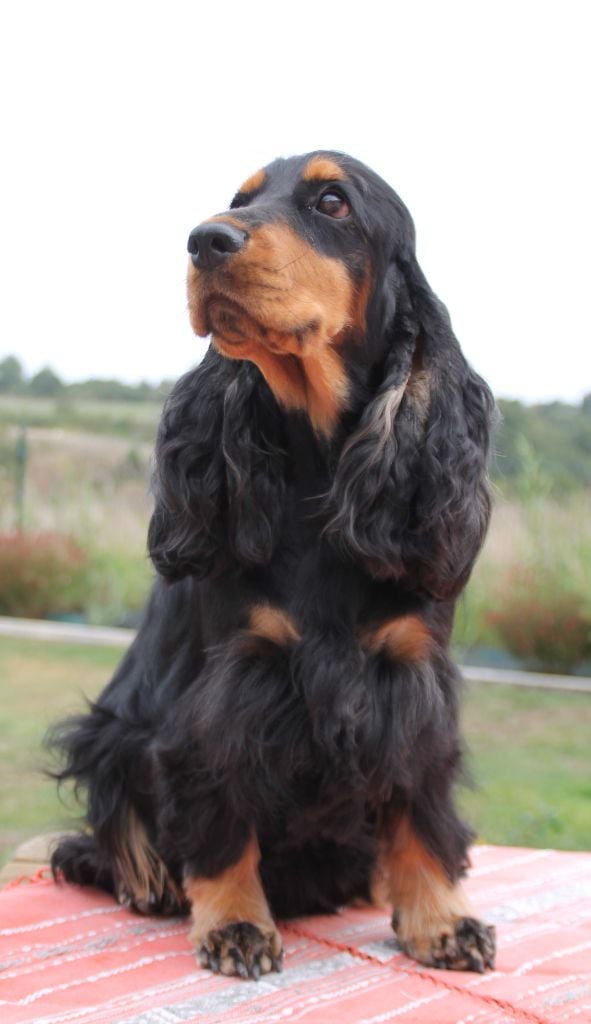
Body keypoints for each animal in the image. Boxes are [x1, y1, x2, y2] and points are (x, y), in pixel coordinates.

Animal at [50, 151, 496, 979]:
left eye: (332, 202)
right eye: (240, 198)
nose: (204, 240)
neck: (321, 470)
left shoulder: (413, 680)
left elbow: (421, 804)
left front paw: (440, 921)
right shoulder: (225, 687)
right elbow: (219, 808)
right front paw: (234, 923)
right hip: (112, 733)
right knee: (103, 837)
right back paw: (148, 881)